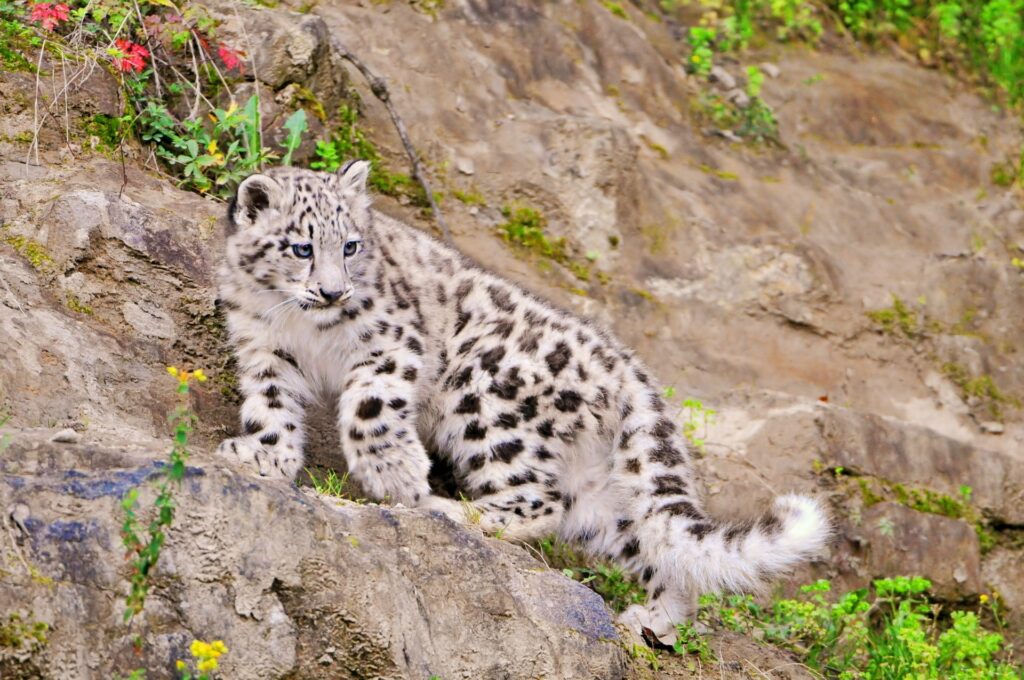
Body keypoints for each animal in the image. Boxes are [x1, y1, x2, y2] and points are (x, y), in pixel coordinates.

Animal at [216, 161, 831, 642]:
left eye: (350, 245)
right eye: (301, 248)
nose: (334, 291)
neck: (301, 326)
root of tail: (626, 365)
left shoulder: (391, 344)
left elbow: (371, 407)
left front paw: (396, 475)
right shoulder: (264, 349)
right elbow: (270, 405)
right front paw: (264, 455)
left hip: (484, 398)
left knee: (538, 500)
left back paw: (448, 509)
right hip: (599, 494)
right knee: (647, 543)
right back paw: (653, 620)